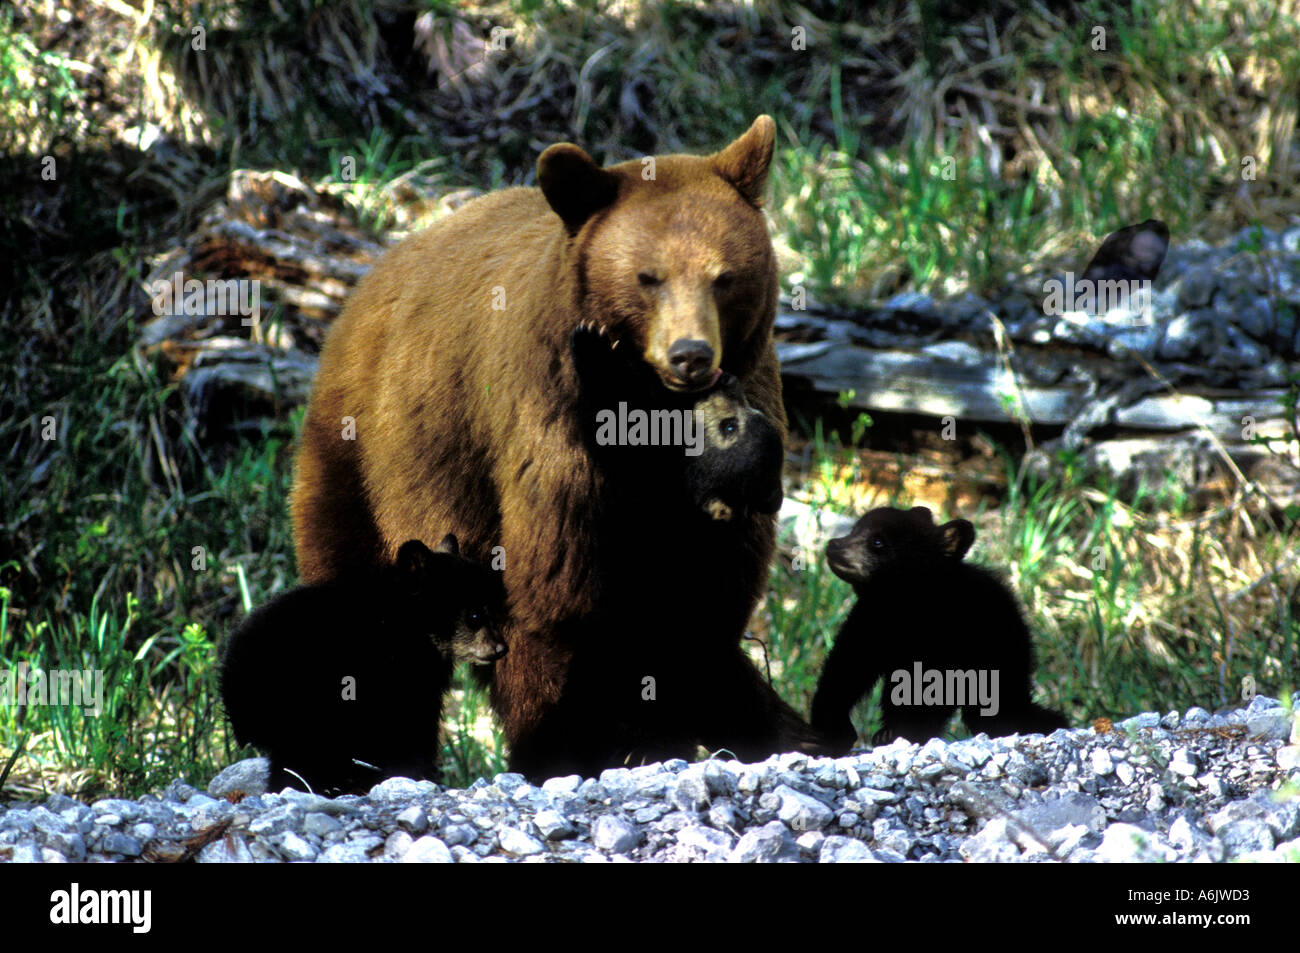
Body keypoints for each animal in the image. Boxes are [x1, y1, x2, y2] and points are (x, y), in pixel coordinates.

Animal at [218, 535, 506, 795]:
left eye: (495, 608)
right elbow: (410, 730)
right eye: (474, 615)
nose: (501, 648)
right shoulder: (398, 676)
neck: (407, 625)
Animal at [290, 116, 826, 779]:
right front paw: (569, 745)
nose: (692, 355)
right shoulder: (553, 434)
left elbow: (699, 610)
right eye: (648, 278)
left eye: (724, 277)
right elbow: (559, 601)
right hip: (367, 461)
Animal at [810, 506, 1068, 752]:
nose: (834, 545)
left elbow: (930, 687)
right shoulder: (870, 619)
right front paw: (831, 730)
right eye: (854, 529)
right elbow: (848, 665)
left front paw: (902, 732)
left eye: (878, 541)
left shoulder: (946, 635)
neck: (903, 607)